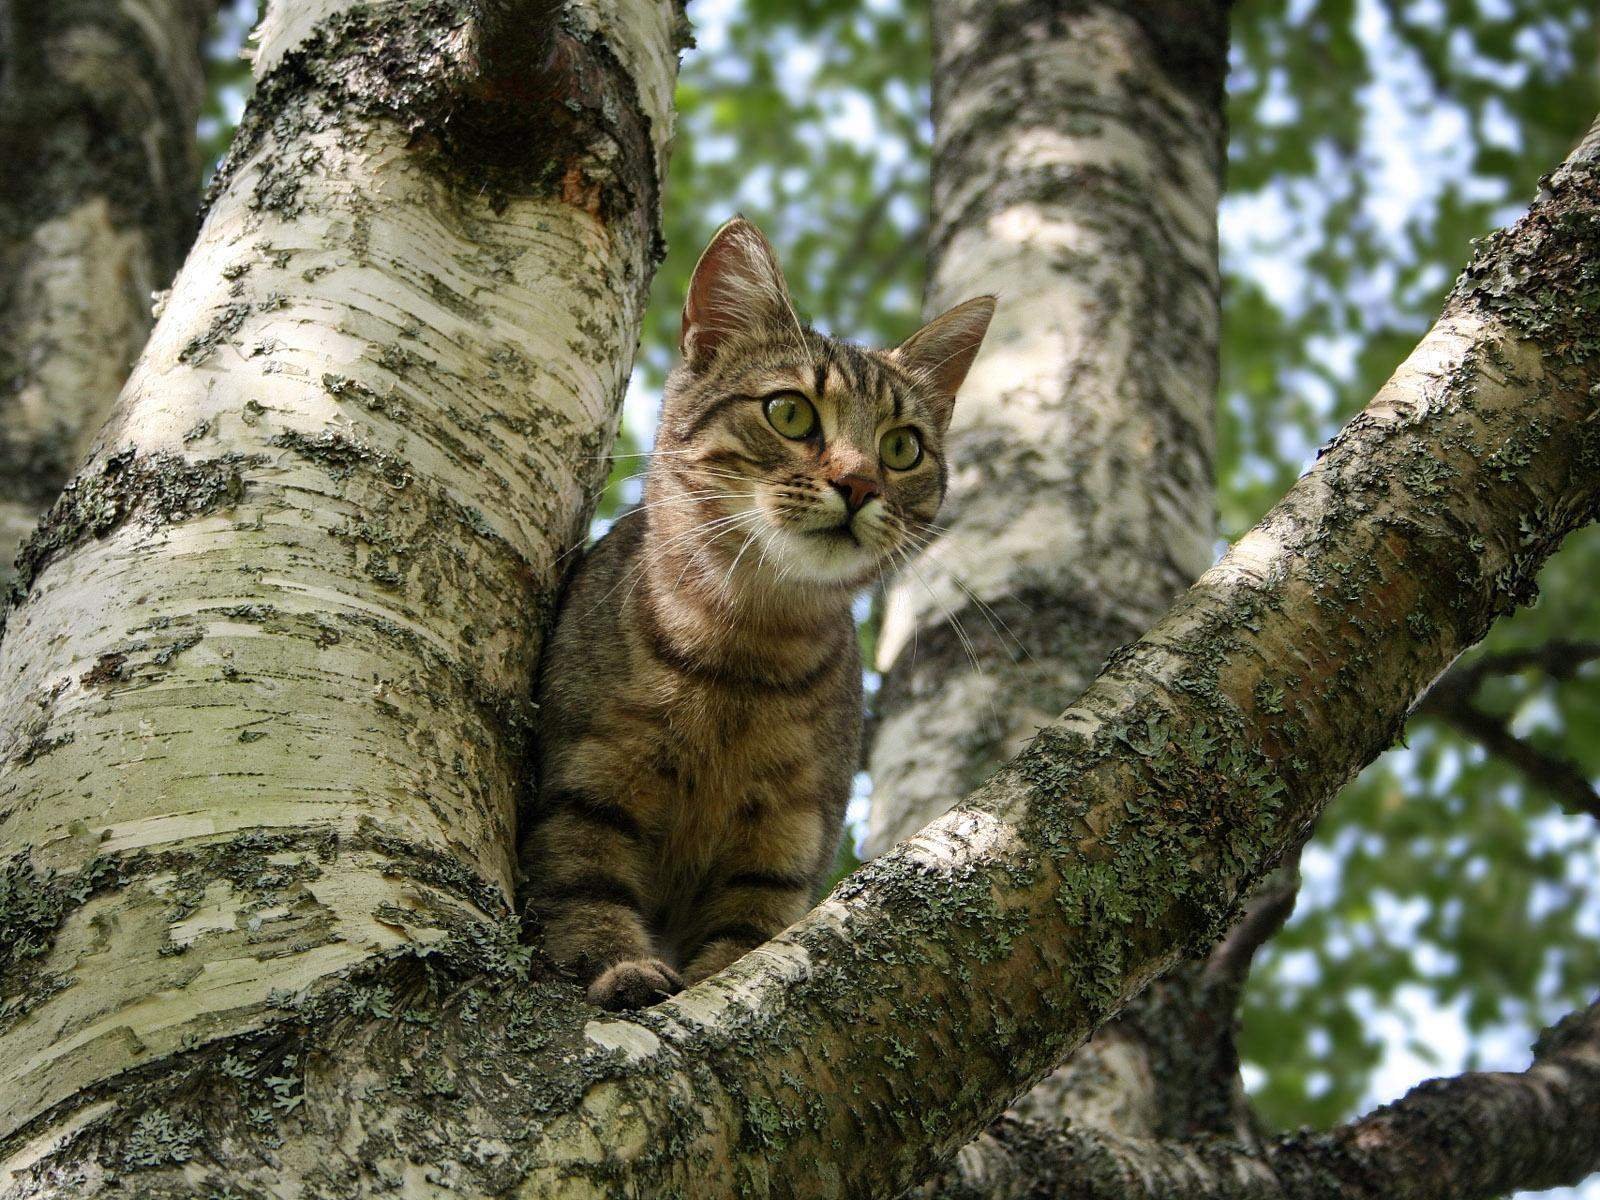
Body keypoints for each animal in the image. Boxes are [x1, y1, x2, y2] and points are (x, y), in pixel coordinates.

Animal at [521, 219, 985, 1017]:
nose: (859, 481)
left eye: (901, 448)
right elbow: (585, 887)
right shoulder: (587, 786)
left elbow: (747, 948)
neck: (743, 651)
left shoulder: (785, 844)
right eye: (790, 411)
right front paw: (620, 967)